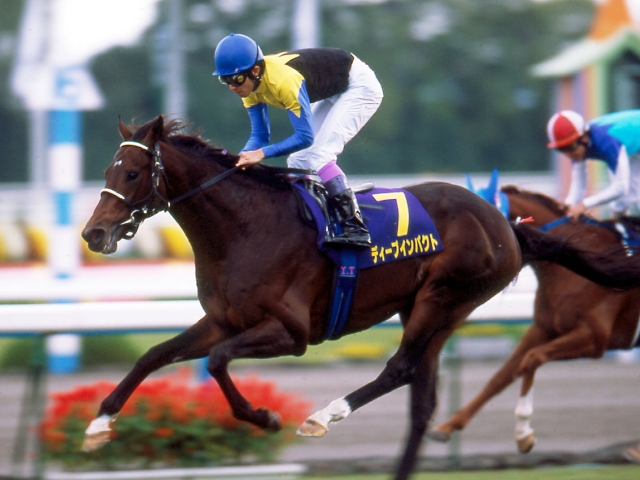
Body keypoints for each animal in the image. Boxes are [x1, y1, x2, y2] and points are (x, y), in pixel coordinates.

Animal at [430, 182, 640, 456]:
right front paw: (446, 427)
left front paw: (523, 434)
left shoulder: (594, 338)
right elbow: (501, 376)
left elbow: (532, 359)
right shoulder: (543, 328)